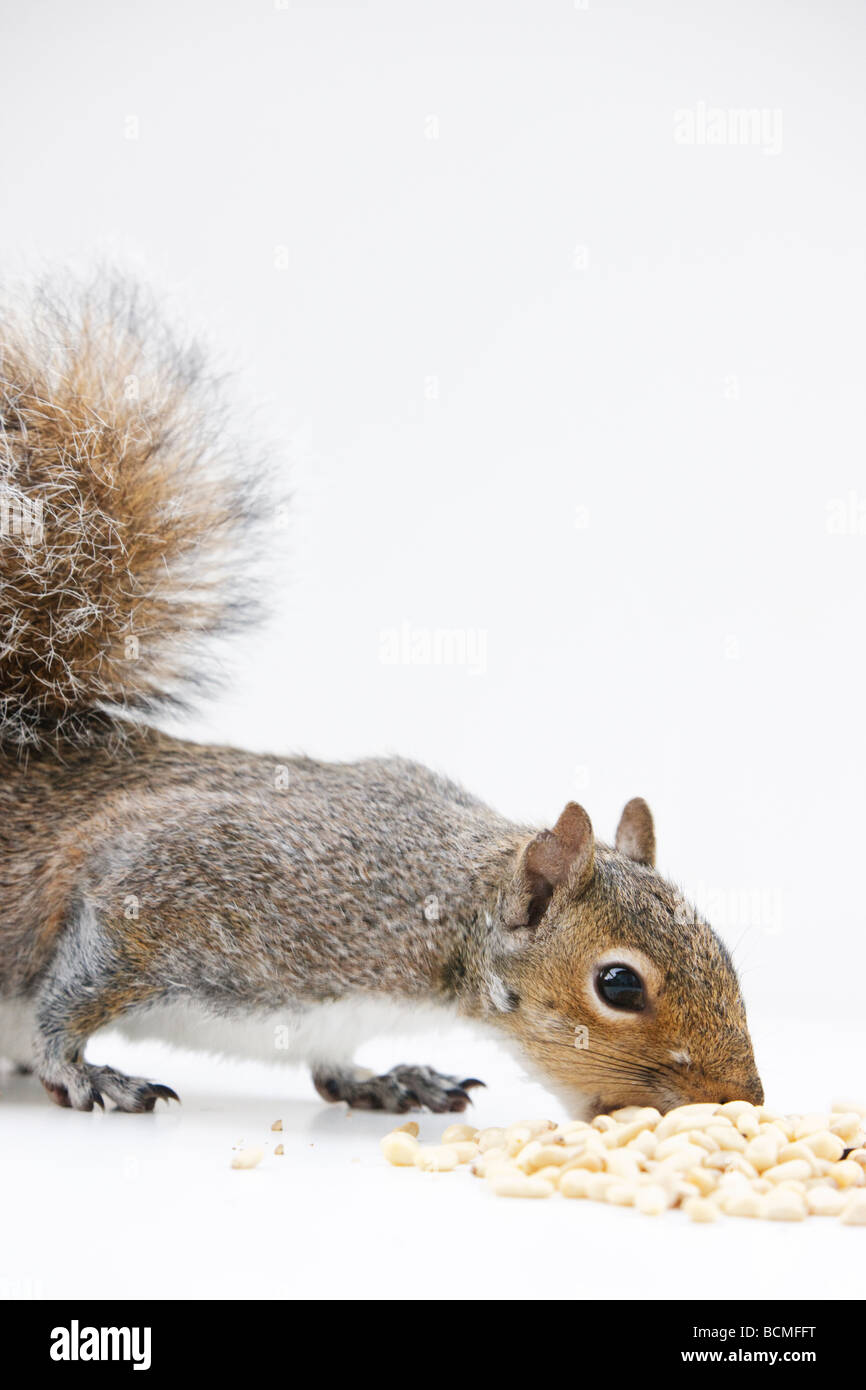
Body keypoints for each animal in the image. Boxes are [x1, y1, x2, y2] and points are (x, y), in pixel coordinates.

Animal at [0, 280, 764, 1117]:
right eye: (619, 984)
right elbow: (74, 992)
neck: (444, 923)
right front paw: (82, 1071)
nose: (744, 1097)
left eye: (723, 952)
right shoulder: (169, 886)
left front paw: (388, 1080)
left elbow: (331, 1061)